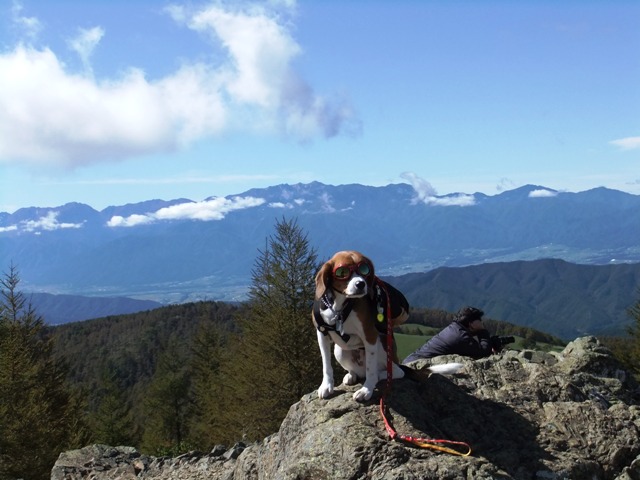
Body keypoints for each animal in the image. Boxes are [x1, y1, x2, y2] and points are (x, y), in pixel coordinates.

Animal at [312, 251, 410, 402]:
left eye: (364, 270)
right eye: (342, 272)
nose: (361, 284)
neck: (340, 307)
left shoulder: (370, 335)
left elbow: (371, 370)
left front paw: (366, 390)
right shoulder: (322, 335)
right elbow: (326, 365)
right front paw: (326, 386)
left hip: (382, 349)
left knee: (393, 371)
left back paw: (379, 376)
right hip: (339, 350)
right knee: (356, 371)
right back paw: (351, 375)